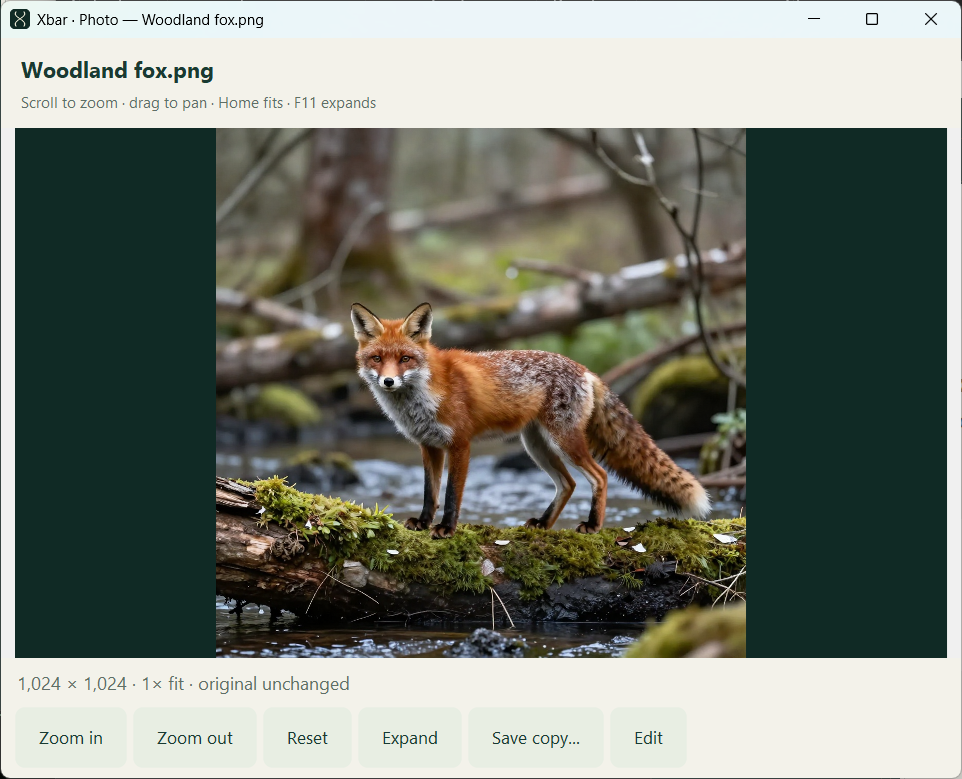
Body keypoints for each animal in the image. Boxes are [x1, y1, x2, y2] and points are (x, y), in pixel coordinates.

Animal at [351, 302, 711, 539]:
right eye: (377, 358)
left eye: (405, 359)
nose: (388, 382)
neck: (424, 394)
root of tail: (585, 369)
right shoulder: (429, 445)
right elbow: (430, 492)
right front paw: (424, 522)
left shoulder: (460, 444)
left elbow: (452, 495)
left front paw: (445, 528)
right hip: (536, 445)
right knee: (568, 483)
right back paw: (544, 524)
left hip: (564, 441)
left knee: (599, 477)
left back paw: (592, 525)